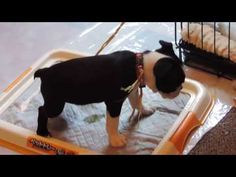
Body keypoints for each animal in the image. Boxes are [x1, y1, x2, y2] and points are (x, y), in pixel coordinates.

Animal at [34, 40, 185, 147]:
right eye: (177, 81)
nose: (181, 87)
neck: (140, 65)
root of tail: (45, 71)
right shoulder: (114, 102)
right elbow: (113, 123)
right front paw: (115, 140)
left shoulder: (133, 90)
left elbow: (136, 102)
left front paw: (145, 110)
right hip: (55, 104)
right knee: (42, 110)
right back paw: (43, 132)